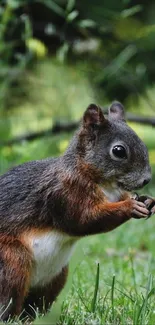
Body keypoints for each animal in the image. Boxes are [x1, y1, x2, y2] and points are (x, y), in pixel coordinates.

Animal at [0, 102, 154, 320]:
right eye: (118, 151)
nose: (146, 180)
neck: (104, 184)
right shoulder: (63, 193)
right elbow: (83, 220)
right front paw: (130, 207)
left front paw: (147, 200)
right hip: (11, 261)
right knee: (8, 297)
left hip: (56, 277)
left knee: (35, 304)